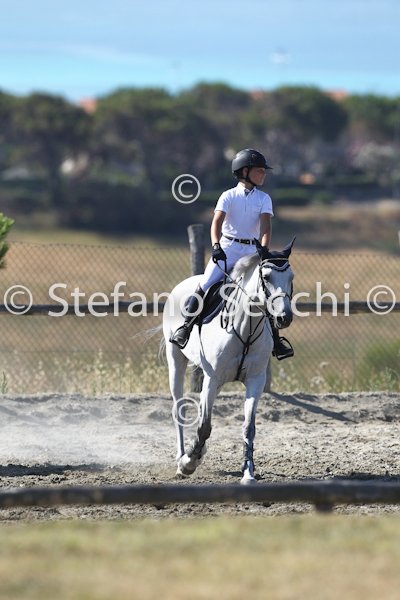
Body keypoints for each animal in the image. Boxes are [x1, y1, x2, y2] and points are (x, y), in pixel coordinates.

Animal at [162, 239, 295, 484]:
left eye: (291, 277)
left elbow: (248, 428)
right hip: (175, 359)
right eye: (266, 277)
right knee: (178, 408)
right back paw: (181, 458)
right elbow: (205, 427)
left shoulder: (255, 381)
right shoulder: (212, 379)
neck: (245, 328)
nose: (285, 317)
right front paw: (188, 462)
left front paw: (248, 473)